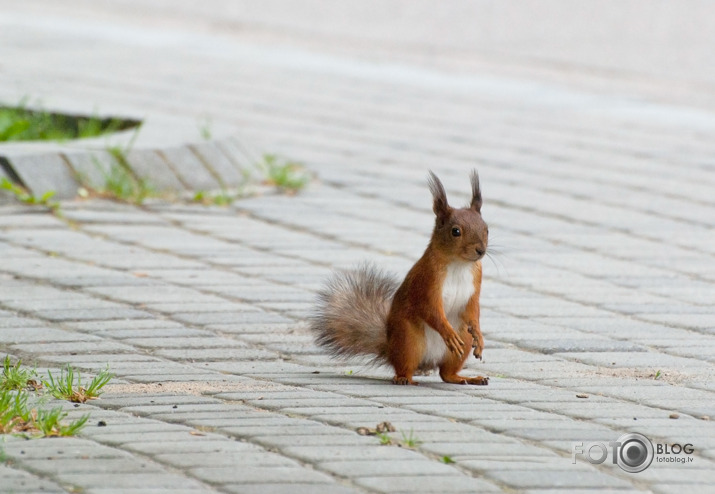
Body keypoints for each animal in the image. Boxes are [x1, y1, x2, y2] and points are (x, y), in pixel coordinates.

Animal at [310, 170, 490, 386]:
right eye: (455, 231)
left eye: (486, 228)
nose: (481, 250)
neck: (459, 264)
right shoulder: (426, 282)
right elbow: (430, 310)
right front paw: (447, 332)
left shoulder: (475, 286)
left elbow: (473, 311)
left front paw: (479, 336)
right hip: (408, 340)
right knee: (405, 366)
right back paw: (404, 378)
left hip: (461, 342)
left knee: (446, 374)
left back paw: (468, 377)